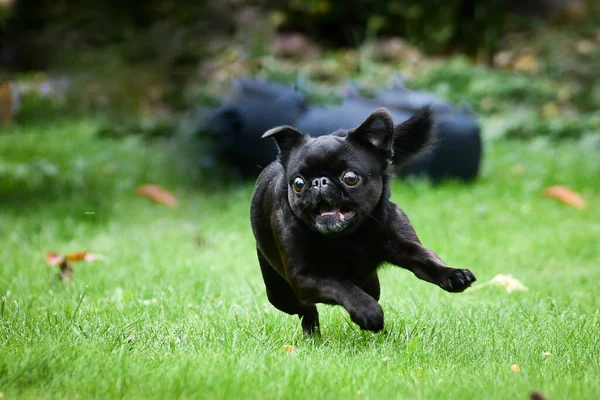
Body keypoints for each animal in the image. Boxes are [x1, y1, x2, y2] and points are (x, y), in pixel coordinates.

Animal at [248, 106, 474, 334]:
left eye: (350, 178)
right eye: (298, 183)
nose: (320, 182)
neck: (347, 237)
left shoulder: (404, 246)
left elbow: (427, 259)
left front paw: (453, 274)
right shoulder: (305, 276)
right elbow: (341, 285)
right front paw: (368, 312)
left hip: (371, 284)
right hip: (279, 293)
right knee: (306, 307)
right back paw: (312, 332)